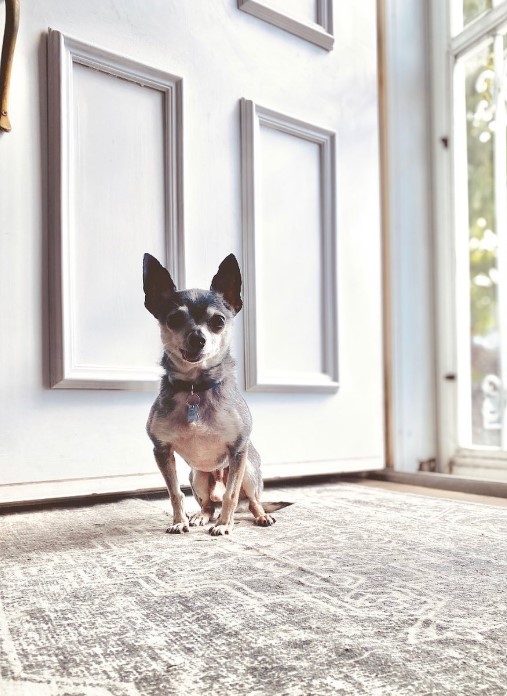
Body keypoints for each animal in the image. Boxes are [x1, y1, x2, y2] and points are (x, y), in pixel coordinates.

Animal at [143, 253, 278, 536]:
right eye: (174, 319)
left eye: (218, 321)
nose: (198, 338)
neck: (196, 387)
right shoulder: (162, 450)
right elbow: (174, 493)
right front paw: (179, 521)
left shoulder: (238, 450)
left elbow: (231, 495)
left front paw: (225, 525)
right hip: (198, 477)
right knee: (208, 504)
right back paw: (199, 517)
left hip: (249, 471)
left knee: (251, 501)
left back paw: (259, 516)